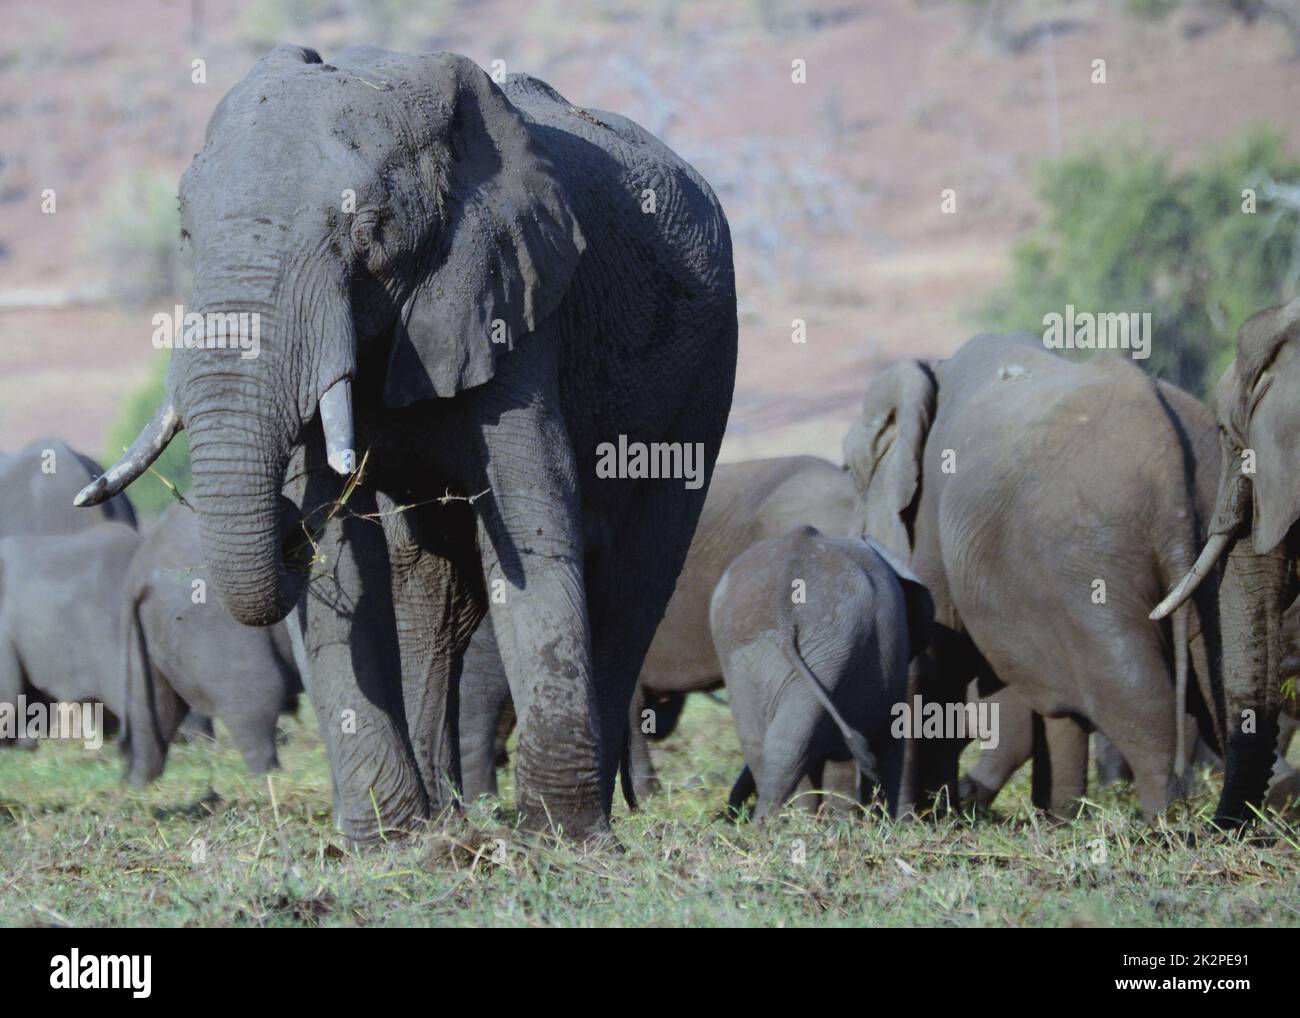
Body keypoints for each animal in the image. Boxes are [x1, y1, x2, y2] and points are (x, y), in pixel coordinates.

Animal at [76, 45, 738, 842]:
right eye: (184, 231)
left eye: (367, 232)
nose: (288, 532)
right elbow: (350, 562)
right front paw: (386, 841)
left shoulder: (511, 296)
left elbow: (531, 520)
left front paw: (559, 840)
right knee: (431, 596)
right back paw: (441, 817)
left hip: (705, 371)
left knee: (636, 579)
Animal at [712, 525, 935, 821]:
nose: (729, 811)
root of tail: (785, 610)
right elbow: (888, 737)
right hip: (829, 646)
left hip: (758, 655)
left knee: (769, 743)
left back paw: (774, 822)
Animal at [847, 335, 1222, 821]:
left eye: (851, 474)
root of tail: (1168, 453)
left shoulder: (930, 517)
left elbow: (932, 655)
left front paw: (914, 818)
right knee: (1227, 684)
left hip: (1089, 557)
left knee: (1134, 692)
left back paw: (1165, 824)